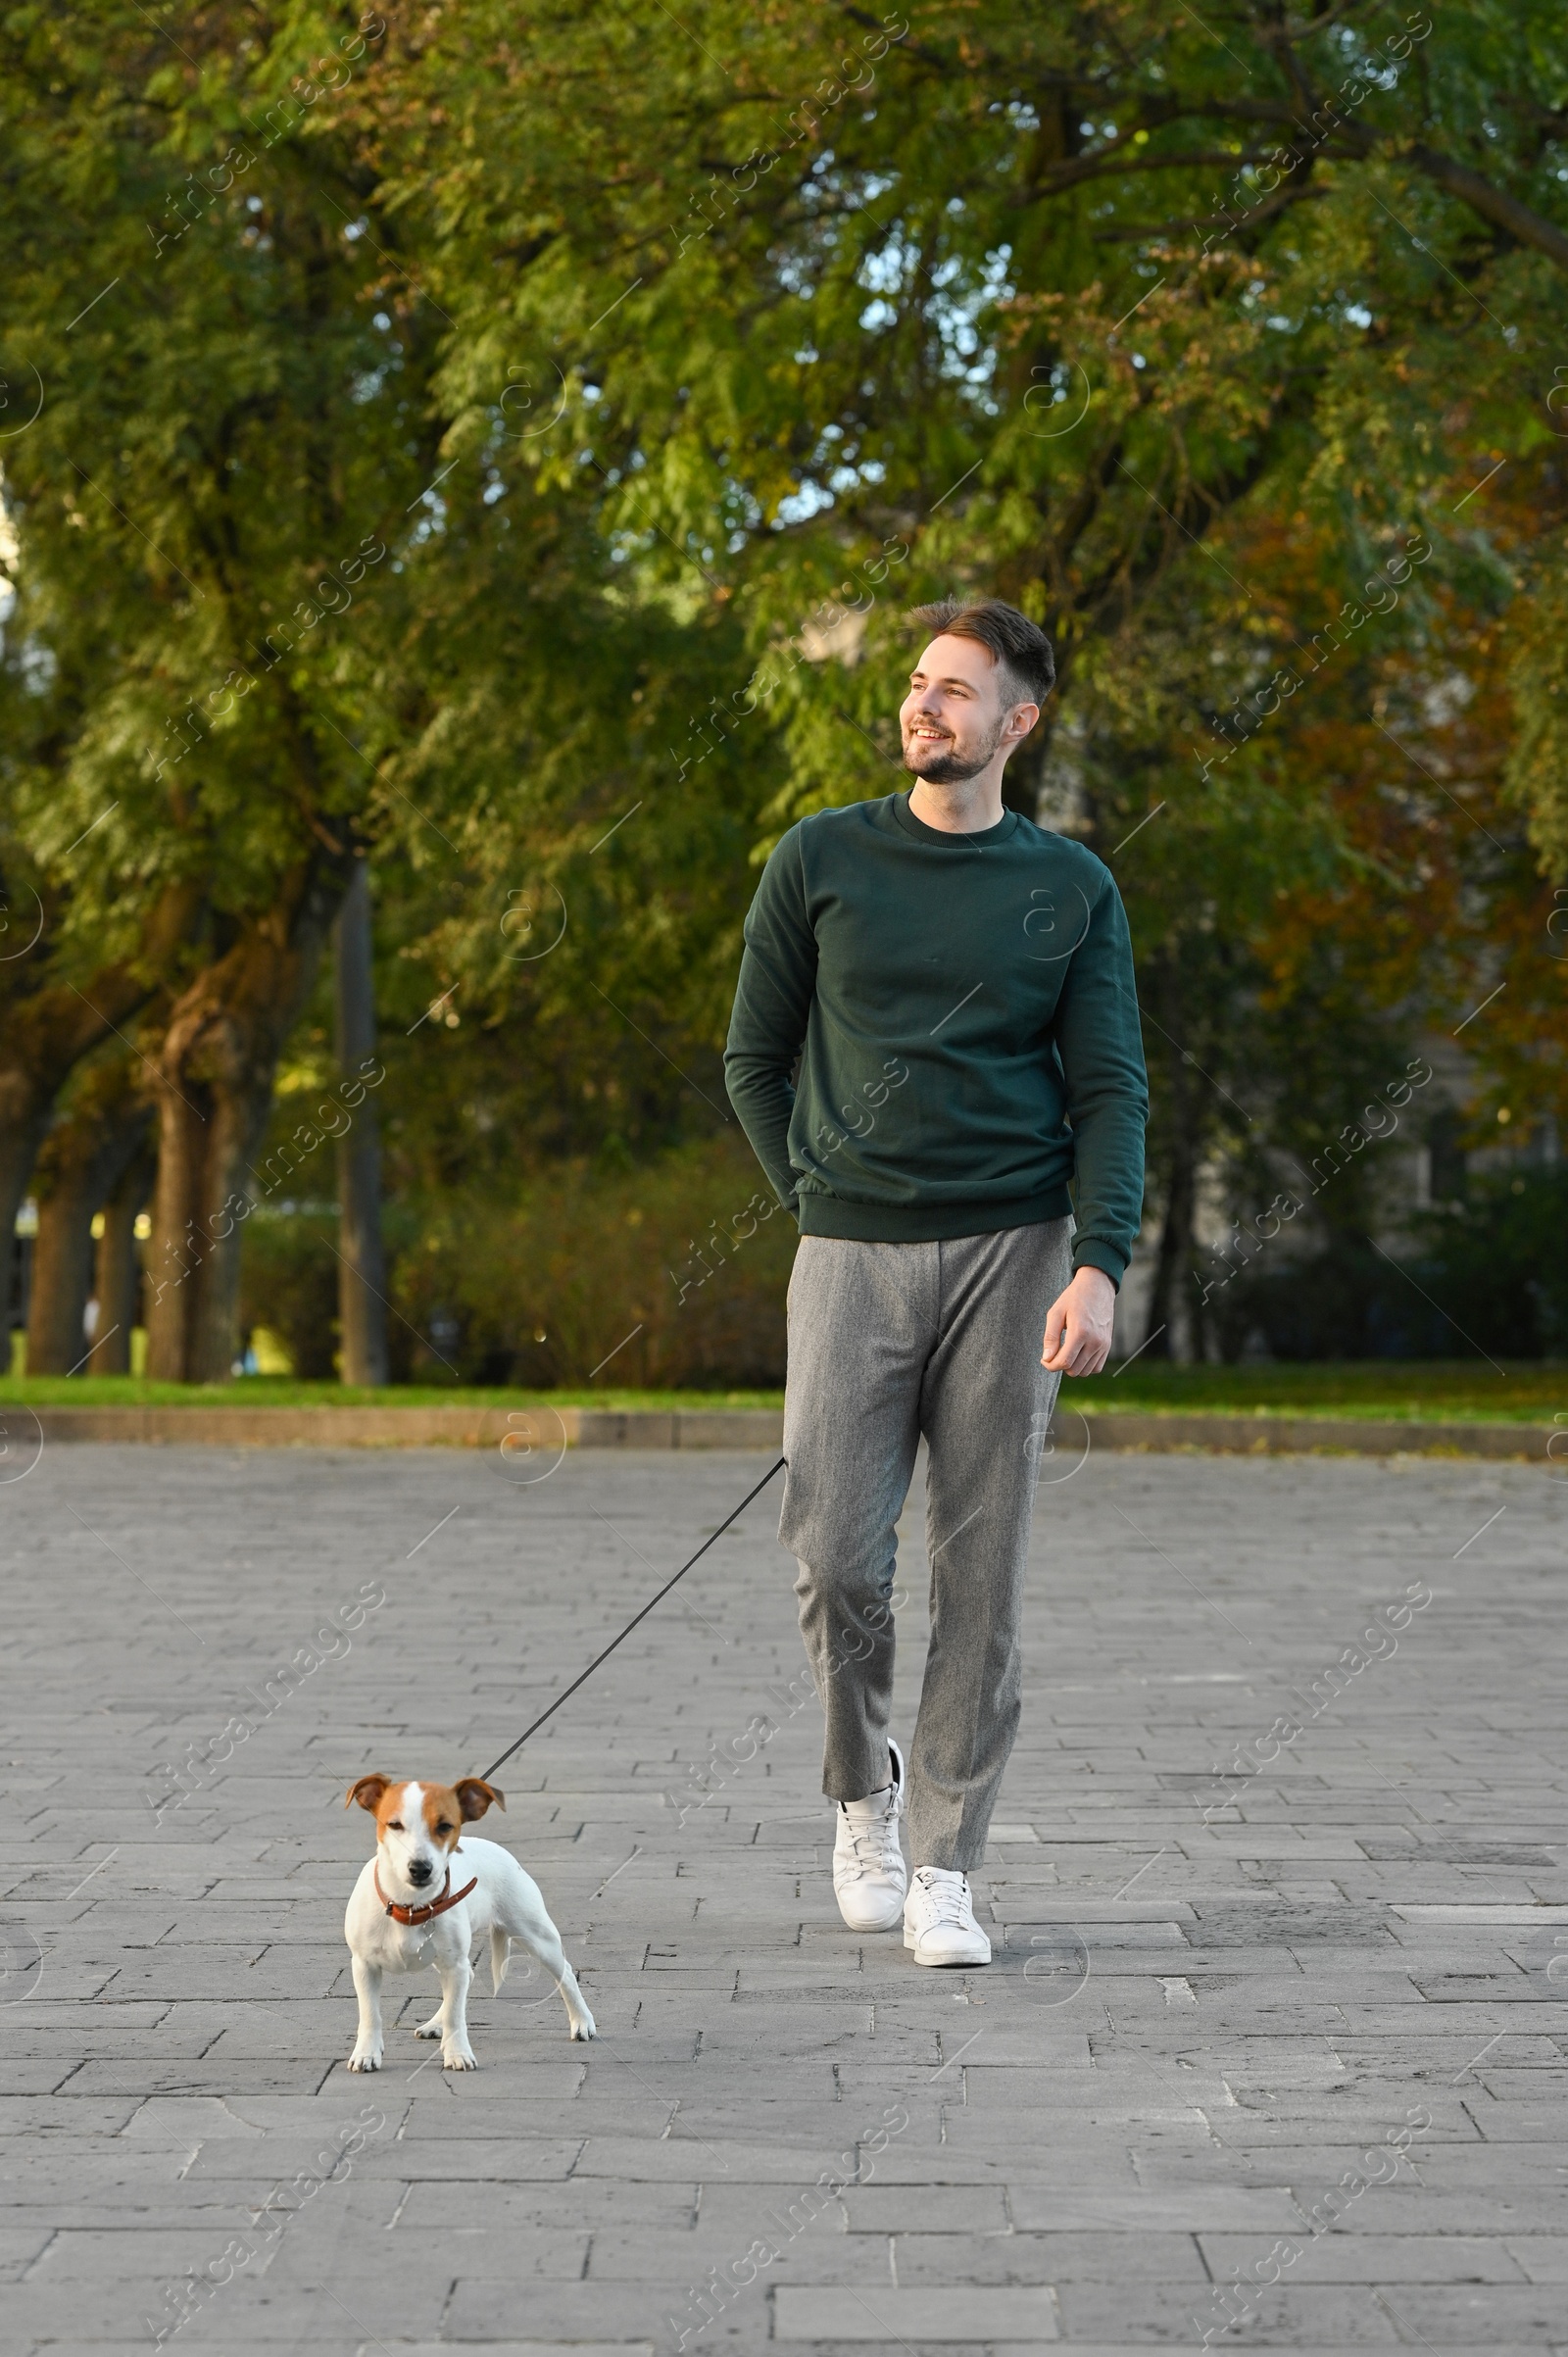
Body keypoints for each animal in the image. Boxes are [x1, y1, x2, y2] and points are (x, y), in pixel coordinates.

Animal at [341, 1772, 594, 2074]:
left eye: (445, 1826)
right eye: (394, 1825)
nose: (420, 1868)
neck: (411, 1907)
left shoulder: (454, 1964)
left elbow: (455, 2015)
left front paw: (457, 2054)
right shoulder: (364, 1966)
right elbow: (370, 2014)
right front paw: (366, 2054)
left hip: (535, 1936)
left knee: (565, 1973)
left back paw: (582, 2022)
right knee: (467, 1981)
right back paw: (434, 2025)